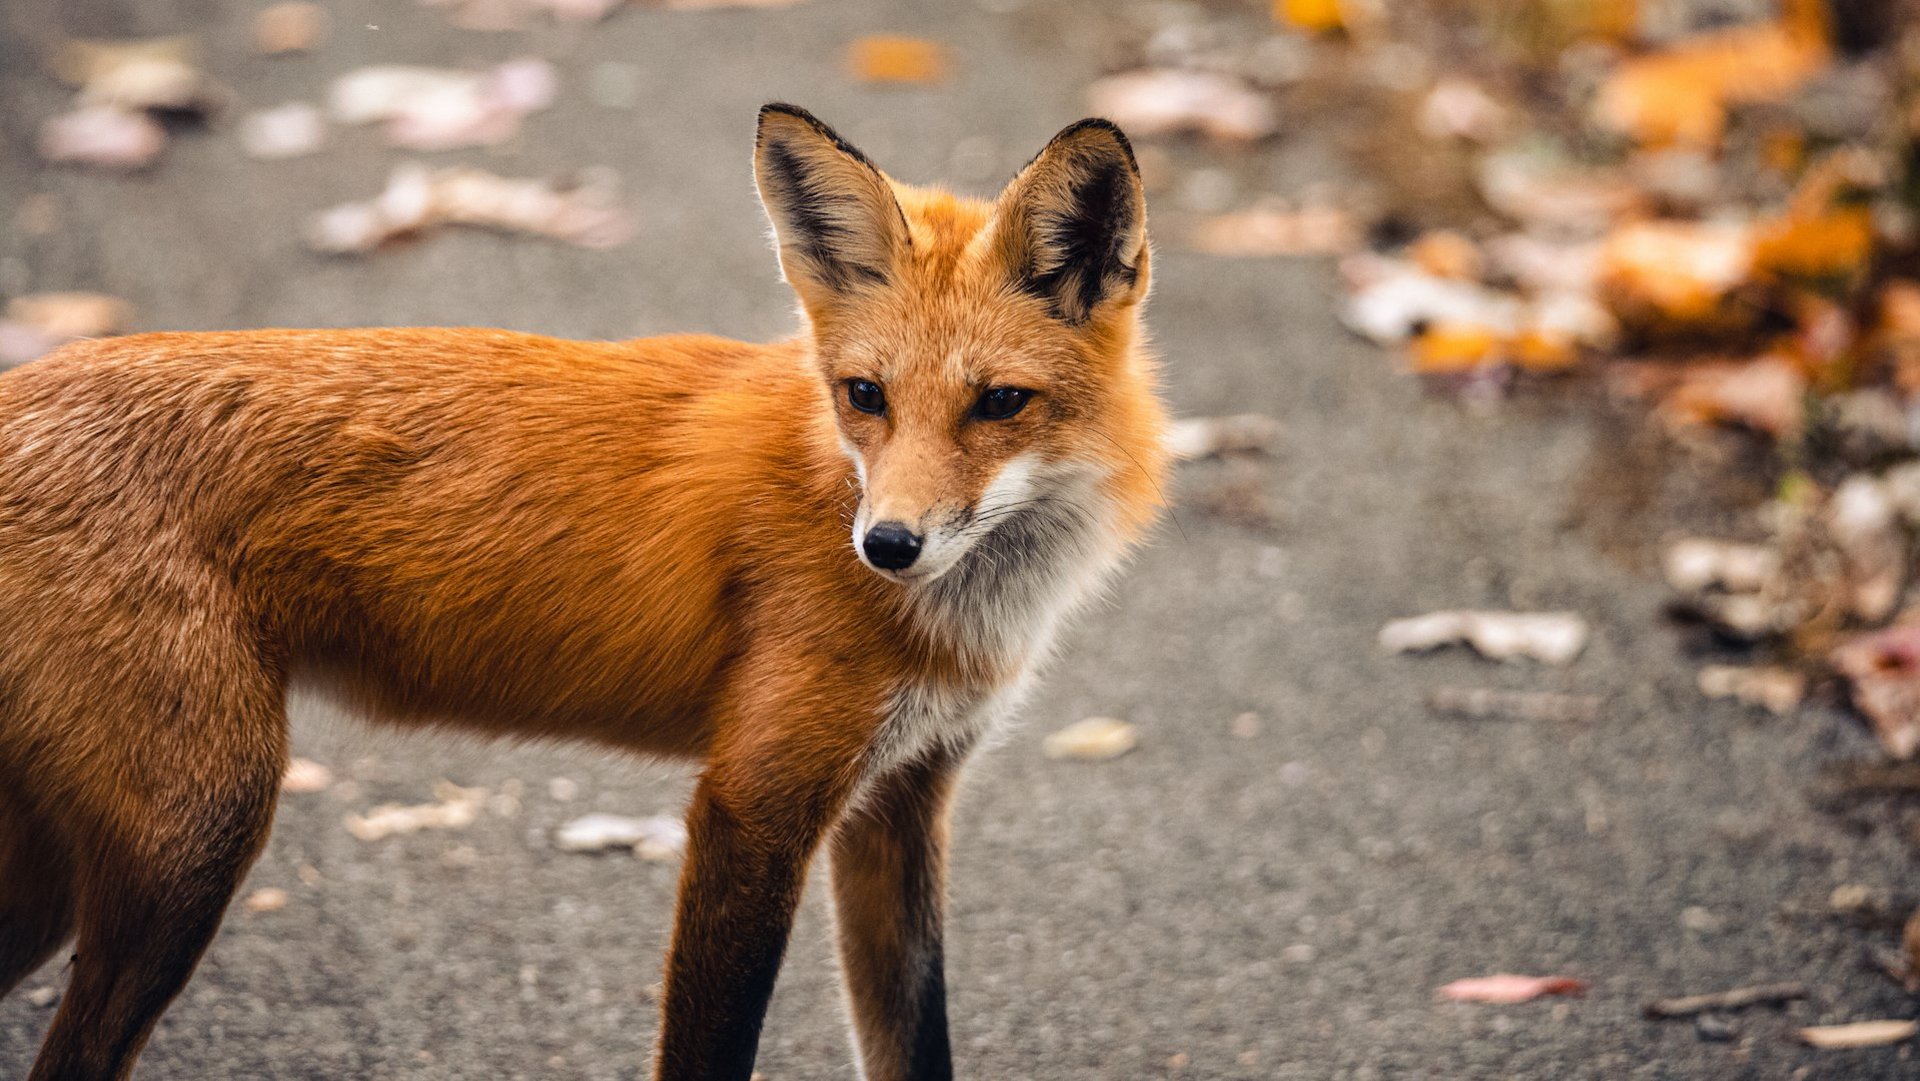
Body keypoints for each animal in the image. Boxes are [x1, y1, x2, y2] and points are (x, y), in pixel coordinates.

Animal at [0, 103, 1167, 1081]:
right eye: (865, 395)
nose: (886, 544)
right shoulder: (753, 803)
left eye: (1001, 403)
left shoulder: (902, 800)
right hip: (193, 840)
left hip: (69, 874)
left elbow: (914, 1042)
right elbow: (711, 1051)